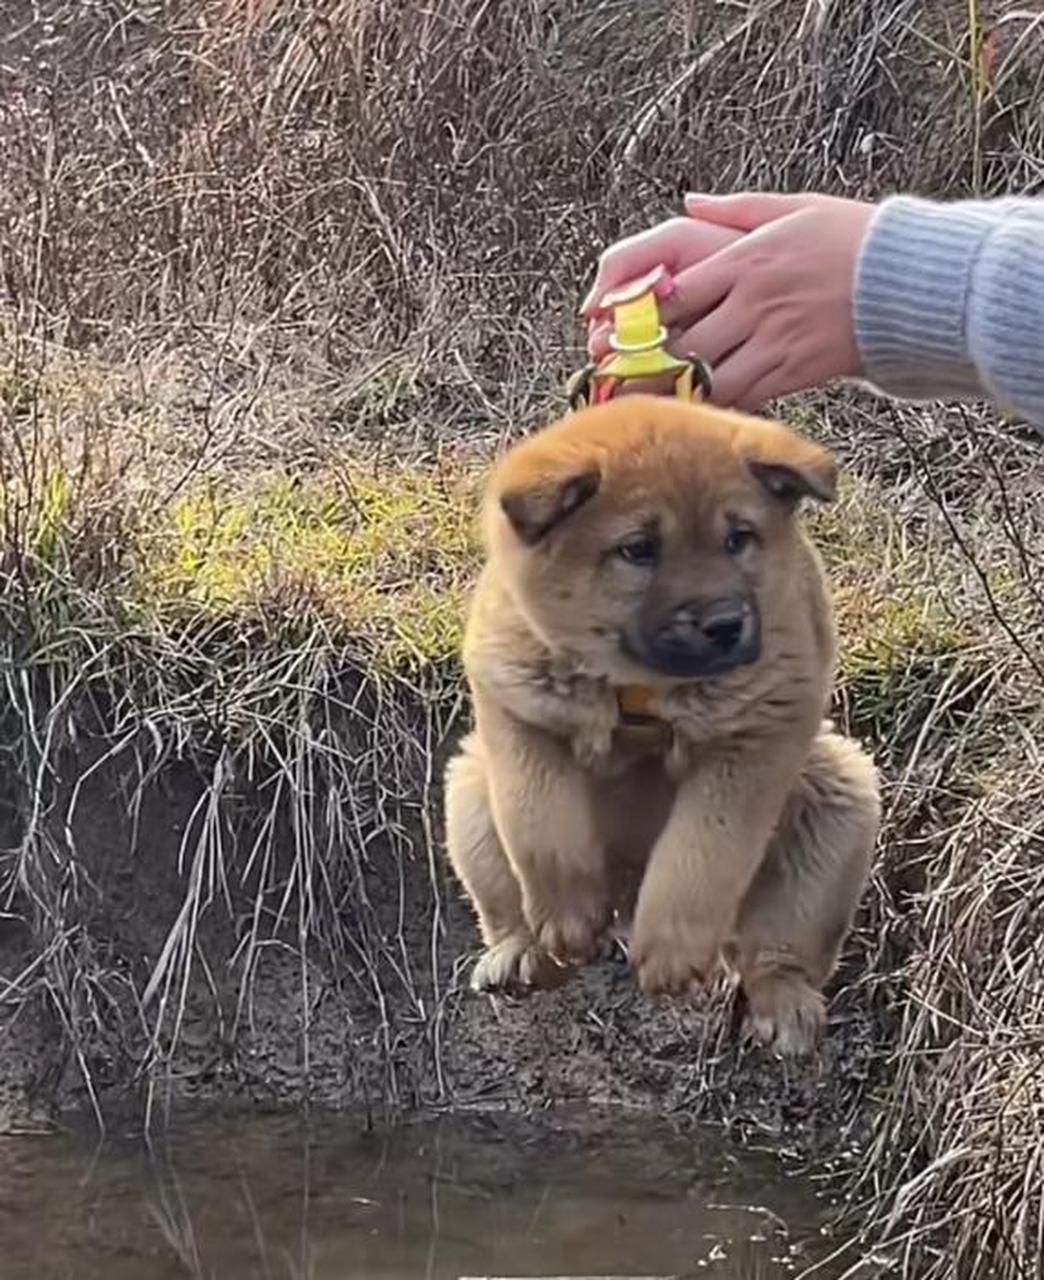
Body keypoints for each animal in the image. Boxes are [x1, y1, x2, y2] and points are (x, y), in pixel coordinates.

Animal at [445, 396, 875, 1049]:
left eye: (738, 539)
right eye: (639, 549)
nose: (725, 624)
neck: (639, 684)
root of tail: (625, 898)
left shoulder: (751, 743)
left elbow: (701, 853)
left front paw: (671, 950)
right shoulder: (520, 714)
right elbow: (543, 829)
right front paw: (566, 916)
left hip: (837, 798)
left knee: (777, 945)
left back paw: (784, 1004)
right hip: (470, 788)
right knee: (506, 904)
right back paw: (521, 955)